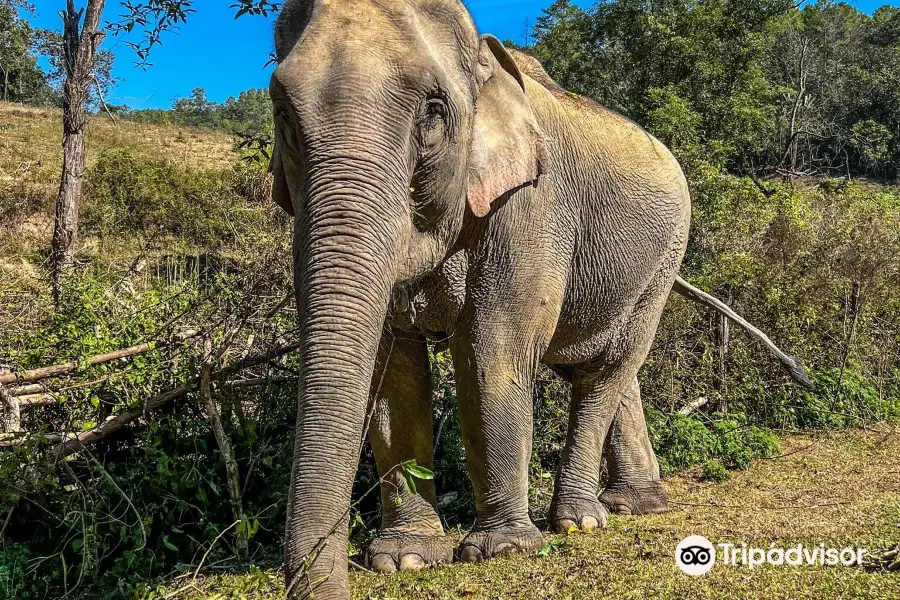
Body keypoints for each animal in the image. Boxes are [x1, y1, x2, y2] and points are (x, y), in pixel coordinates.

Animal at [270, 2, 812, 596]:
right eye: (284, 116)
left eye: (433, 114)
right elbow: (394, 372)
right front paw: (406, 559)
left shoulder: (530, 206)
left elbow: (492, 354)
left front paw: (501, 550)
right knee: (606, 371)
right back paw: (635, 506)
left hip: (665, 258)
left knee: (609, 367)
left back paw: (581, 521)